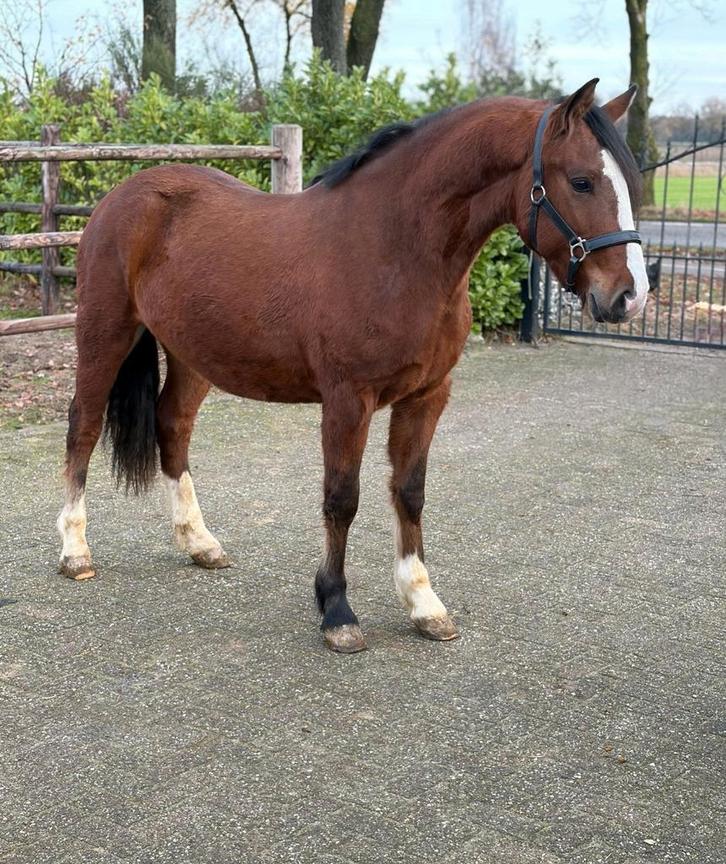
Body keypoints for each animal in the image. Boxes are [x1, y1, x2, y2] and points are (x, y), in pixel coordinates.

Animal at [57, 78, 648, 653]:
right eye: (581, 182)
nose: (629, 296)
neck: (394, 247)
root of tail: (123, 195)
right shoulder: (348, 400)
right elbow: (342, 499)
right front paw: (337, 611)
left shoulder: (428, 396)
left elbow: (410, 492)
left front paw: (423, 603)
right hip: (105, 332)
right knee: (83, 426)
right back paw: (75, 550)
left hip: (191, 353)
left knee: (173, 425)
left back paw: (199, 542)